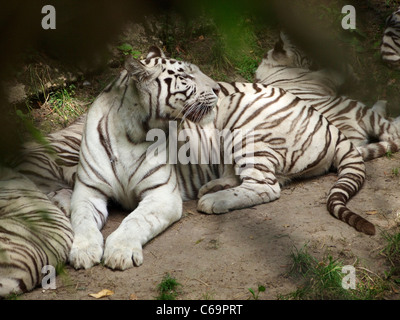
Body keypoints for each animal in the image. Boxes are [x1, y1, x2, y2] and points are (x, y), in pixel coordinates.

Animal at [0, 46, 388, 296]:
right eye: (185, 75)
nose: (216, 87)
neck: (134, 129)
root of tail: (329, 125)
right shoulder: (89, 190)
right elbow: (80, 218)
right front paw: (83, 251)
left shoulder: (161, 195)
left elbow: (135, 221)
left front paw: (120, 252)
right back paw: (212, 187)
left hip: (248, 131)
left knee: (266, 187)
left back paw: (213, 202)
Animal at [255, 31, 400, 160]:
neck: (273, 64)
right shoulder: (323, 77)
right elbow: (338, 69)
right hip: (355, 108)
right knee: (390, 132)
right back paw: (386, 106)